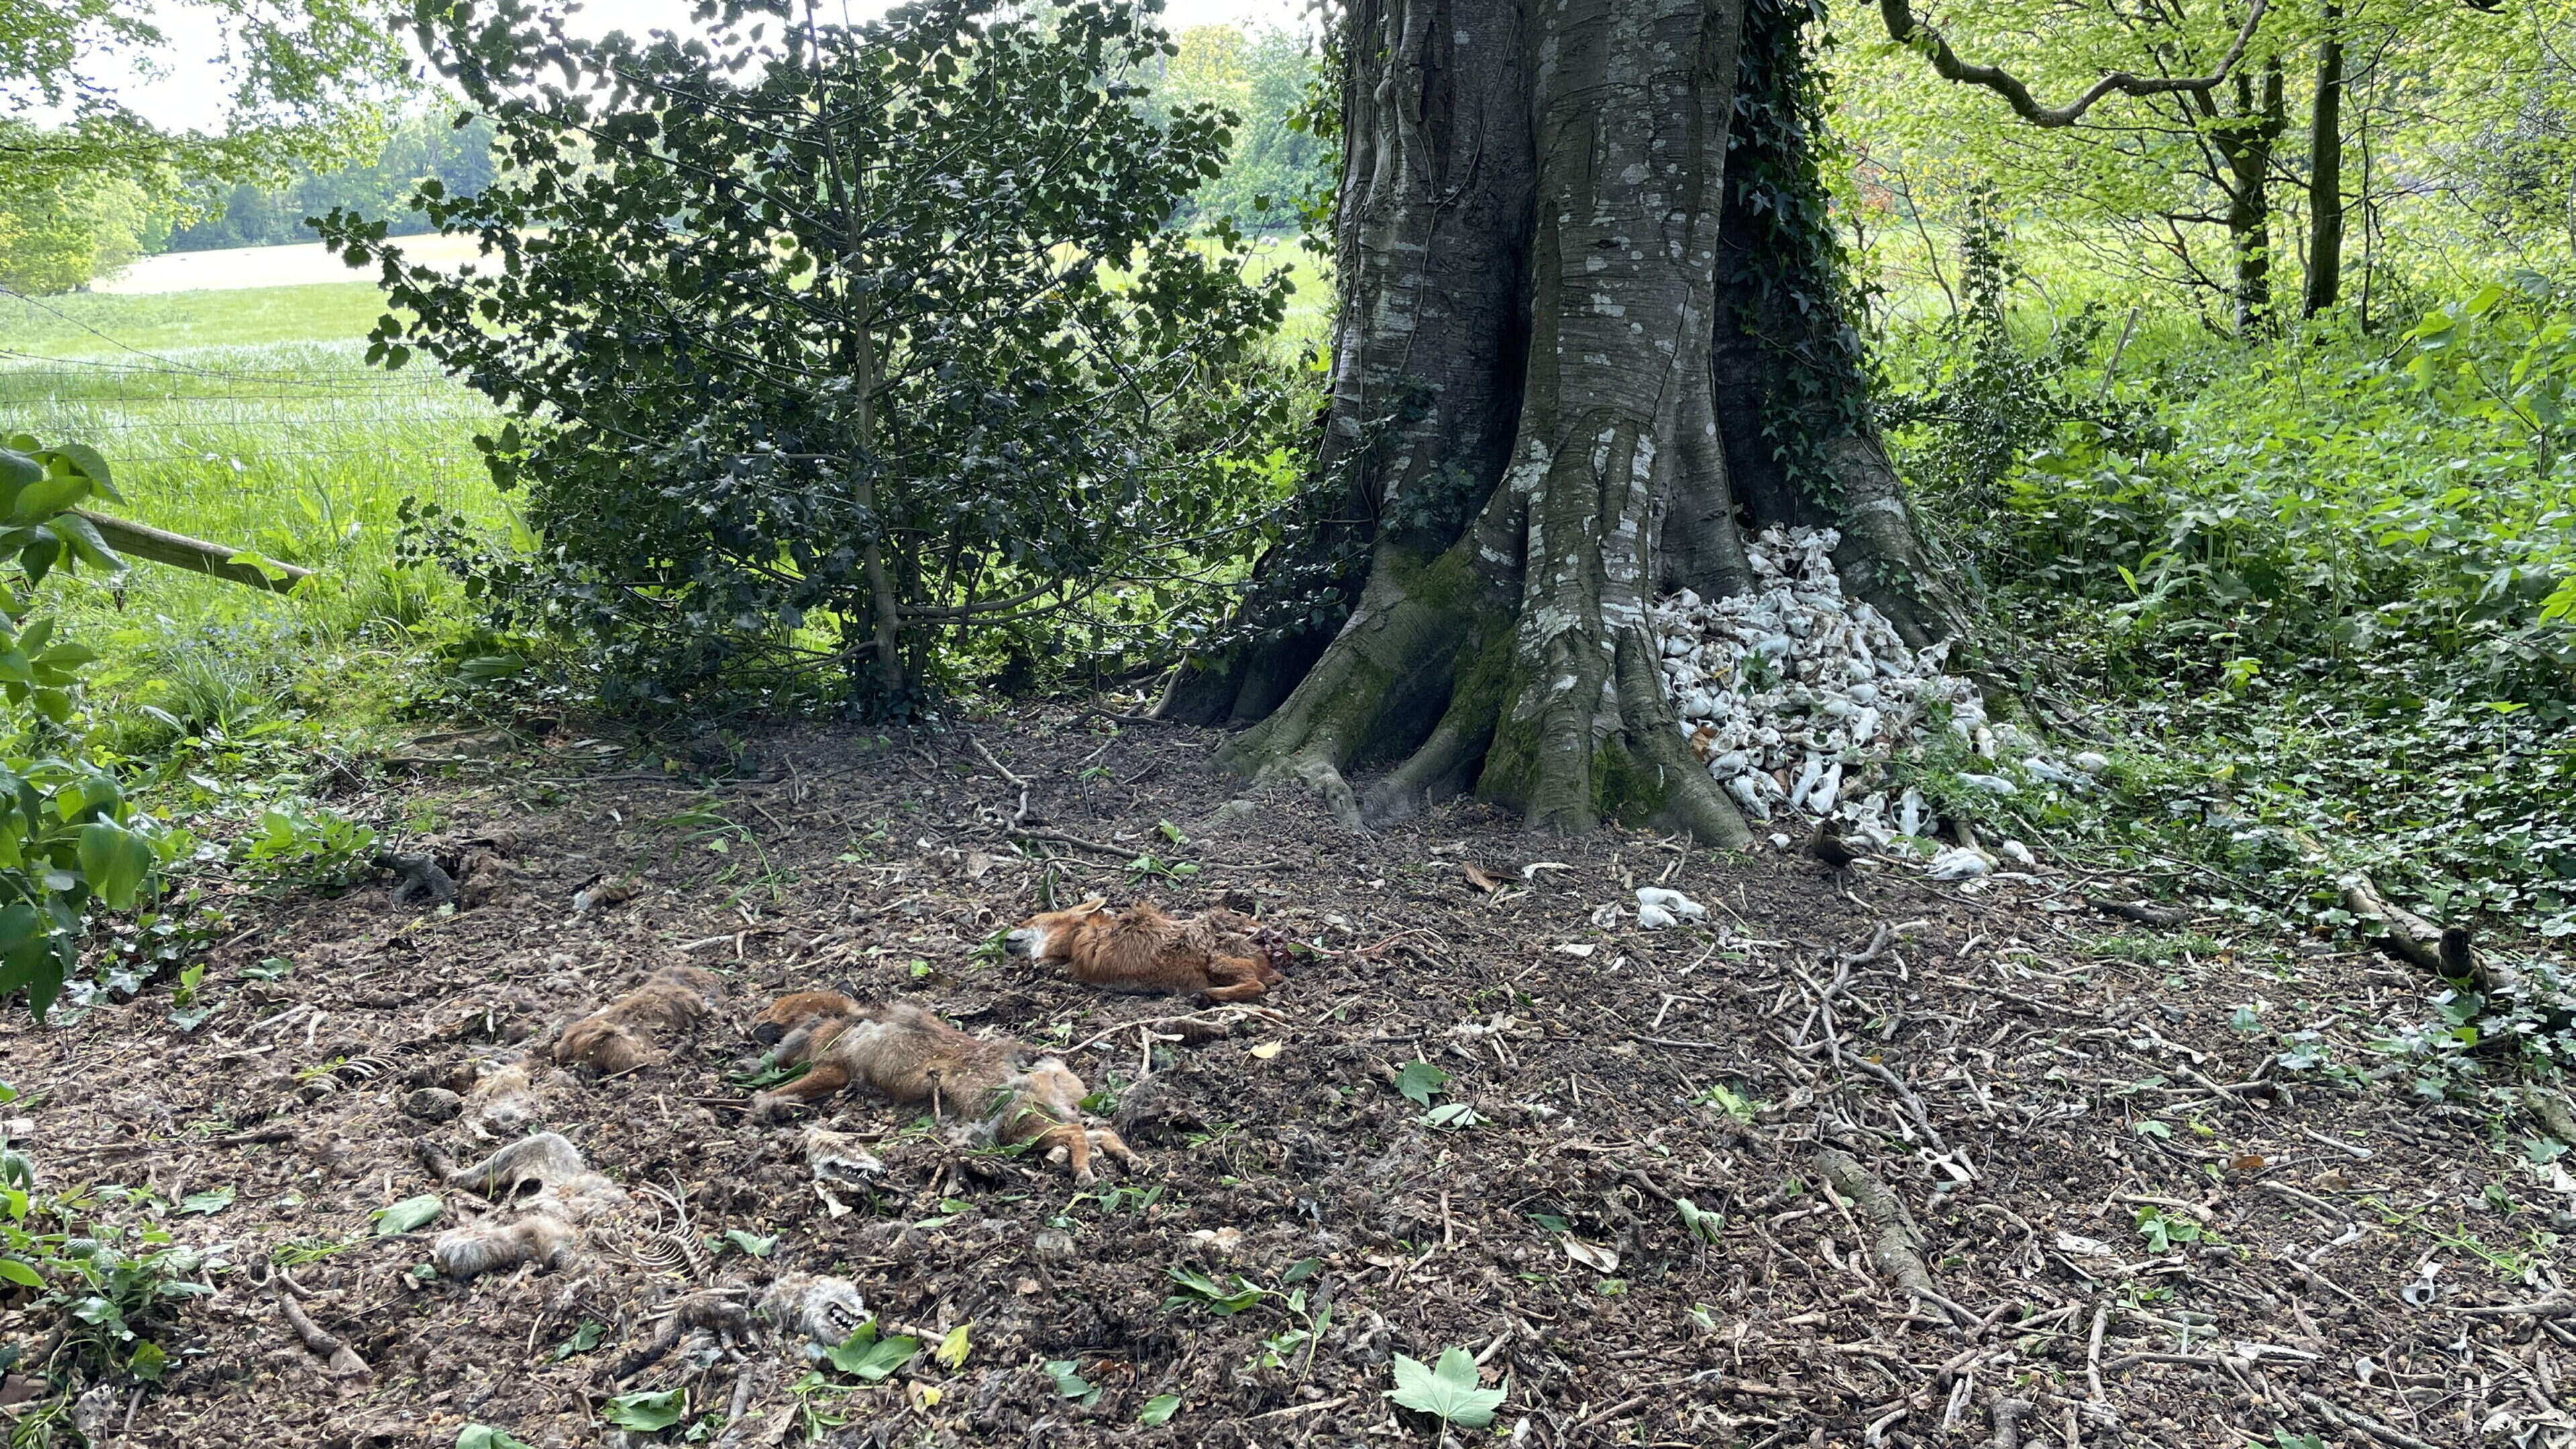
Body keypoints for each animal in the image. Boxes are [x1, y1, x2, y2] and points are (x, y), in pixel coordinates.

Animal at [745, 992, 1139, 1184]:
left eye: (780, 1005)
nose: (751, 1019)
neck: (842, 1022)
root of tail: (1043, 1071)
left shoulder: (832, 1070)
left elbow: (789, 1087)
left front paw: (761, 1102)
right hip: (1038, 1123)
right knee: (1100, 1132)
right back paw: (1132, 1160)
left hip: (1020, 1128)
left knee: (1077, 1134)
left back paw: (1084, 1174)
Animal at [1004, 898, 1288, 1002]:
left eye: (1029, 920)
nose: (1004, 937)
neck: (1078, 937)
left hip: (1216, 962)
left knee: (1256, 985)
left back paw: (1208, 995)